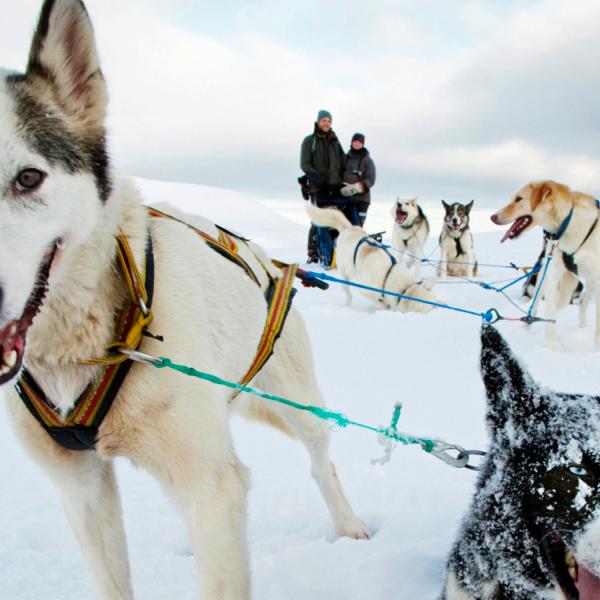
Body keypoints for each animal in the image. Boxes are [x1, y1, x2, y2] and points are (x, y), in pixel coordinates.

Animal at [0, 1, 368, 600]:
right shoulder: (83, 490)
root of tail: (271, 263)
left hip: (297, 404)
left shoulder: (211, 487)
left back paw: (350, 524)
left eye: (28, 177)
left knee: (321, 462)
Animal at [308, 204, 438, 312]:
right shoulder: (365, 289)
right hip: (344, 276)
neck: (388, 276)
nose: (440, 307)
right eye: (430, 307)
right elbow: (379, 302)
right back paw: (347, 305)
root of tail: (348, 228)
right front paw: (384, 307)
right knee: (348, 294)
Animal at [492, 179, 600, 346]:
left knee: (582, 301)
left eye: (518, 199)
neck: (569, 223)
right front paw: (550, 349)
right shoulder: (553, 276)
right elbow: (550, 322)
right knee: (538, 308)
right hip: (548, 279)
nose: (492, 217)